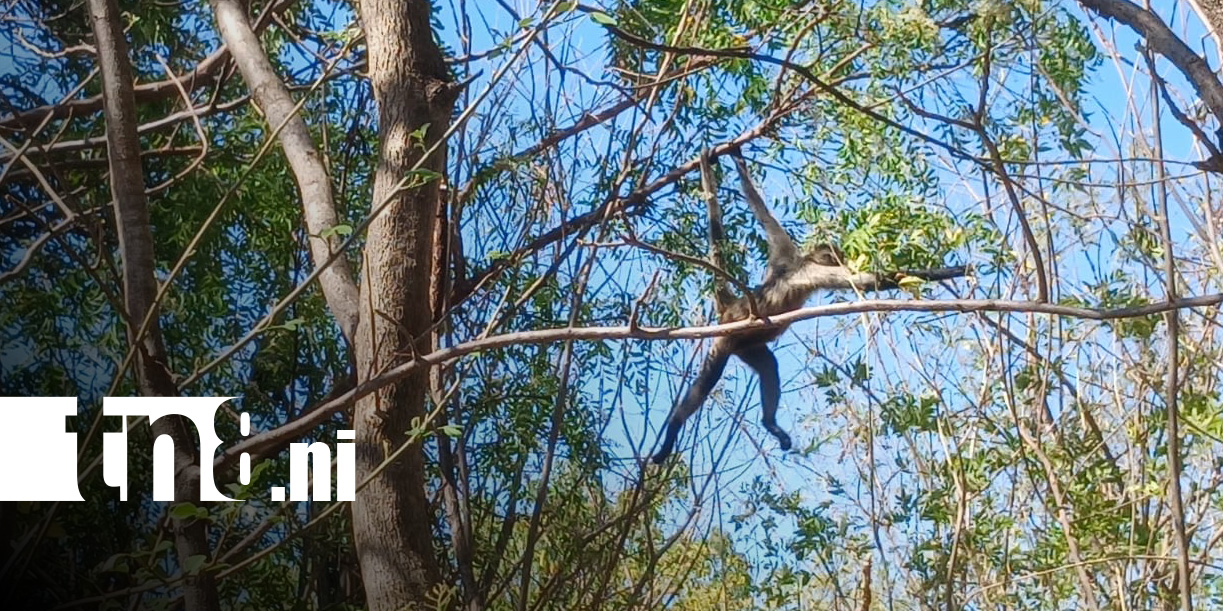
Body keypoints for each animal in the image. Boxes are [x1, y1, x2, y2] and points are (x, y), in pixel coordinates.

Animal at [651, 150, 968, 464]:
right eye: (836, 256)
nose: (842, 257)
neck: (801, 262)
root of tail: (733, 307)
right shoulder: (814, 271)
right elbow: (866, 282)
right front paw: (954, 270)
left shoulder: (784, 251)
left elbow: (763, 213)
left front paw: (738, 159)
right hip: (726, 339)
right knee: (708, 379)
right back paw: (673, 427)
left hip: (747, 346)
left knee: (768, 365)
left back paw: (769, 424)